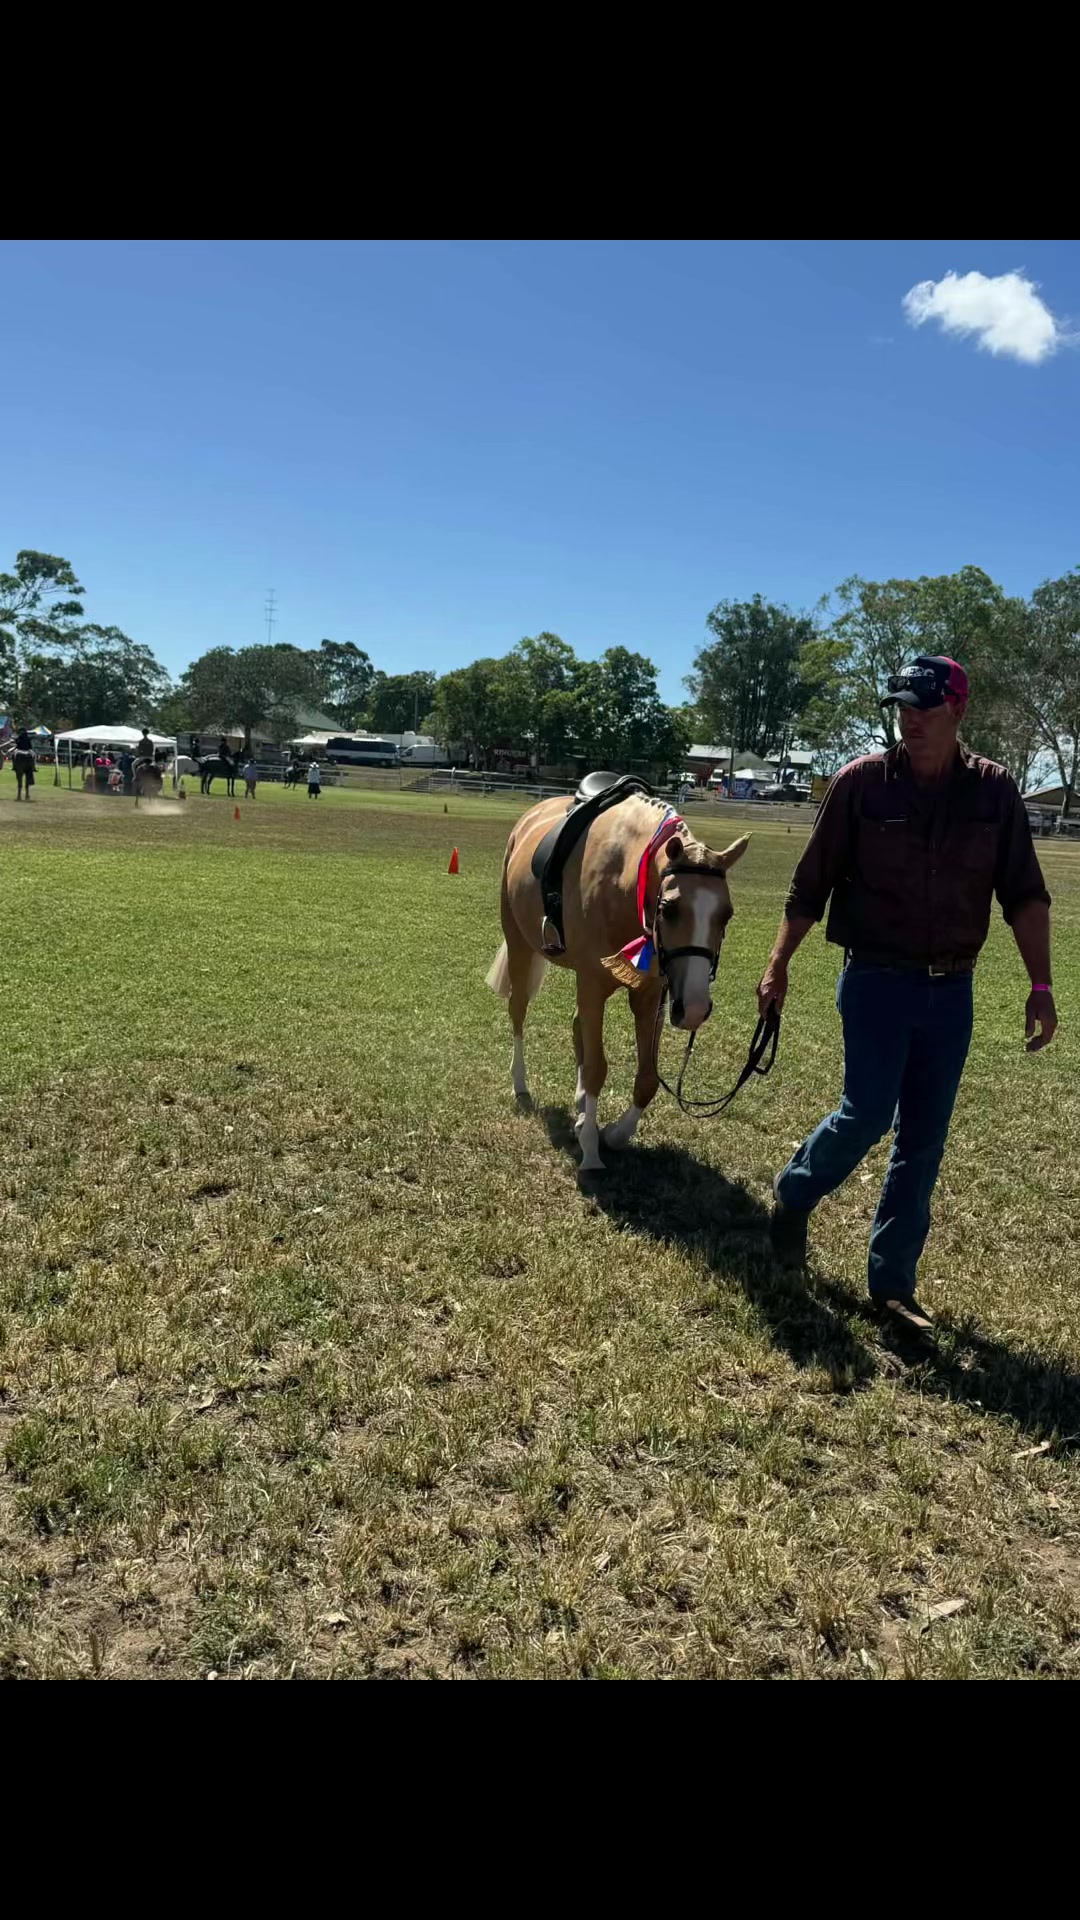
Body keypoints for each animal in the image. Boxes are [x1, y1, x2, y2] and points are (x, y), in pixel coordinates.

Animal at [487, 784, 748, 1172]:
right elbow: (598, 1067)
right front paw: (591, 1149)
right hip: (519, 943)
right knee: (518, 1011)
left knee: (578, 1027)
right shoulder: (594, 984)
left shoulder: (651, 995)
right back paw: (521, 1084)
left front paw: (614, 1134)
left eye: (726, 914)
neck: (623, 880)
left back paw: (582, 1105)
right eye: (669, 908)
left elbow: (648, 1078)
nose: (695, 1009)